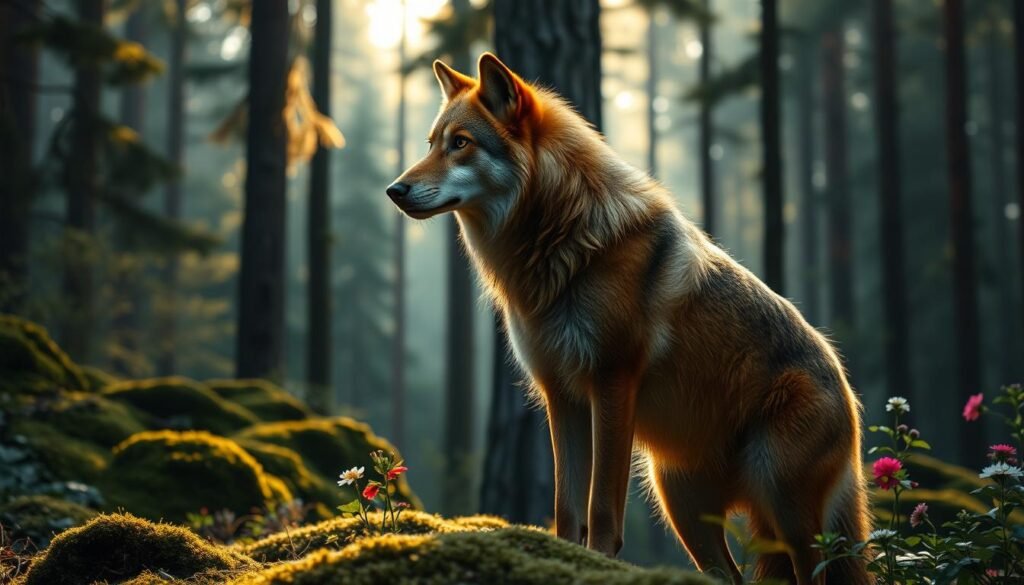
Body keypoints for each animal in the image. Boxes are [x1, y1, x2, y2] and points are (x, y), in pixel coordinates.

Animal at [386, 52, 871, 585]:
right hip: (685, 506)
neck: (563, 242)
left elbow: (600, 507)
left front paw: (599, 560)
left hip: (786, 515)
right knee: (729, 575)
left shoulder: (612, 381)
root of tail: (850, 393)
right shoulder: (561, 396)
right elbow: (566, 507)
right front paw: (566, 556)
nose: (394, 190)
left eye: (461, 143)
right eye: (432, 143)